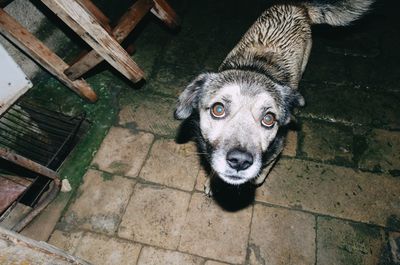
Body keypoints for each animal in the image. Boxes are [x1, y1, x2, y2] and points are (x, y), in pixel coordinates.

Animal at [173, 0, 374, 194]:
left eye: (268, 119)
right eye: (218, 109)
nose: (240, 161)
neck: (255, 69)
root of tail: (299, 6)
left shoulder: (275, 153)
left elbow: (259, 176)